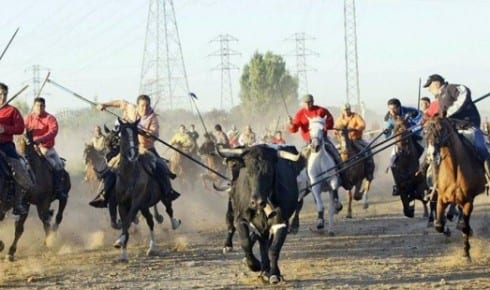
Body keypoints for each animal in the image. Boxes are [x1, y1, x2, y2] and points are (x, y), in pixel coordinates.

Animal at [217, 145, 302, 284]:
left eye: (269, 172)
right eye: (248, 172)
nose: (256, 202)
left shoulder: (281, 223)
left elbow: (274, 249)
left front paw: (274, 274)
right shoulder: (241, 219)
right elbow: (245, 243)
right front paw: (255, 265)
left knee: (266, 245)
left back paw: (267, 270)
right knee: (261, 243)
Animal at [424, 116, 488, 262]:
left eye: (440, 129)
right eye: (425, 131)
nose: (431, 154)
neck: (454, 172)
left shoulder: (468, 202)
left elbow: (465, 227)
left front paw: (466, 253)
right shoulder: (441, 199)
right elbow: (438, 225)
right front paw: (446, 230)